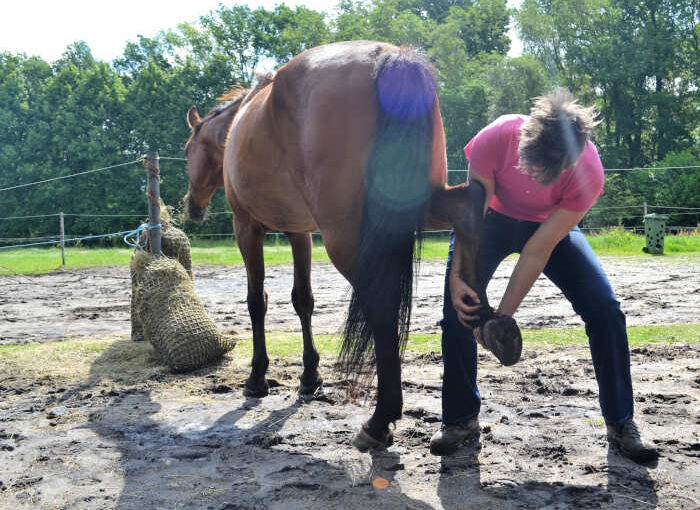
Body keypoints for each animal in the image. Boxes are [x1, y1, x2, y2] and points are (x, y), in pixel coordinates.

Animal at [183, 41, 524, 452]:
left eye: (187, 151)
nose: (191, 206)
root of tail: (389, 57)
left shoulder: (246, 227)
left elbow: (256, 301)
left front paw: (257, 379)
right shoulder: (299, 232)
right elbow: (303, 299)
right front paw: (309, 376)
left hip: (347, 237)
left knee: (380, 305)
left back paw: (380, 419)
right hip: (421, 202)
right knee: (468, 205)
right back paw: (484, 320)